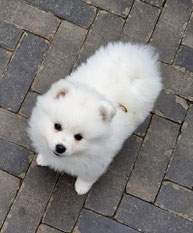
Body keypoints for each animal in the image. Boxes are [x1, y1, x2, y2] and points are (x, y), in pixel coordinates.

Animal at [28, 42, 161, 195]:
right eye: (57, 126)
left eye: (79, 137)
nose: (60, 147)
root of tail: (138, 61)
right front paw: (44, 158)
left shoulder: (97, 162)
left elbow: (88, 176)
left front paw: (81, 187)